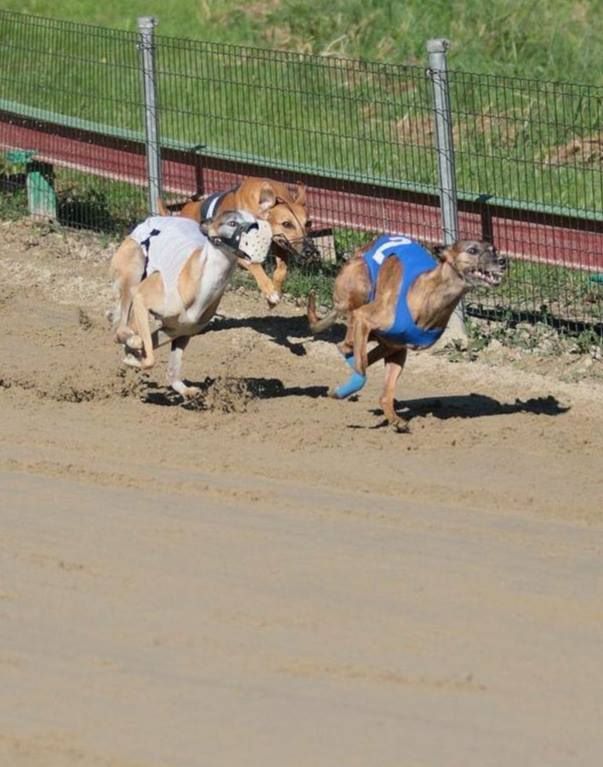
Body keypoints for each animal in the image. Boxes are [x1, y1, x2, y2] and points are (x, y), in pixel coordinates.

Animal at [112, 210, 272, 402]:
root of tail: (150, 220)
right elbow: (149, 360)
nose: (259, 229)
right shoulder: (142, 299)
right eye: (232, 223)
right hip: (134, 269)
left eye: (253, 219)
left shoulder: (180, 331)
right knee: (120, 328)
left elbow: (172, 371)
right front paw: (133, 358)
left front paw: (186, 390)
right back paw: (128, 339)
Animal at [310, 234, 508, 432]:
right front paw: (345, 388)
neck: (428, 296)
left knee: (361, 355)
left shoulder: (397, 347)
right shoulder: (364, 318)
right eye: (472, 250)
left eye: (494, 249)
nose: (503, 261)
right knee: (348, 345)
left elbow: (384, 392)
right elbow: (361, 372)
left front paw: (395, 420)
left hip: (391, 345)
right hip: (360, 287)